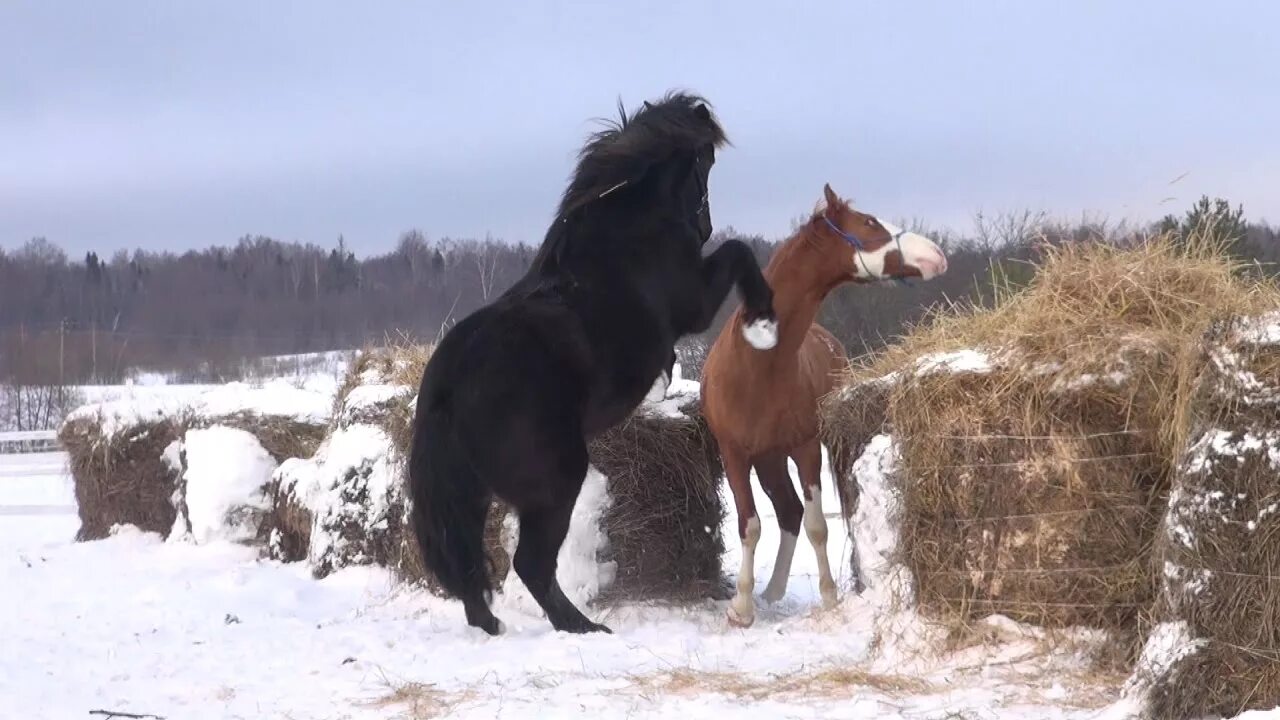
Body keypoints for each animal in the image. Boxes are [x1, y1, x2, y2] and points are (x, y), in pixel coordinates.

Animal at [409, 90, 773, 632]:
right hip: (556, 482)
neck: (627, 234)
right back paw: (580, 625)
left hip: (473, 496)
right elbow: (739, 251)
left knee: (472, 566)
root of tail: (447, 386)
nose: (702, 226)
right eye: (704, 162)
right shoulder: (696, 304)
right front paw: (764, 317)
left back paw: (495, 626)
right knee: (531, 564)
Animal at [701, 185, 952, 627]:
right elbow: (750, 526)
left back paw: (777, 589)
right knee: (786, 511)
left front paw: (831, 598)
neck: (757, 362)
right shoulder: (734, 455)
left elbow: (818, 525)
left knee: (796, 512)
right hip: (767, 459)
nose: (936, 254)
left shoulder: (805, 449)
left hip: (791, 454)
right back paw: (770, 591)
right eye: (868, 222)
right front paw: (741, 608)